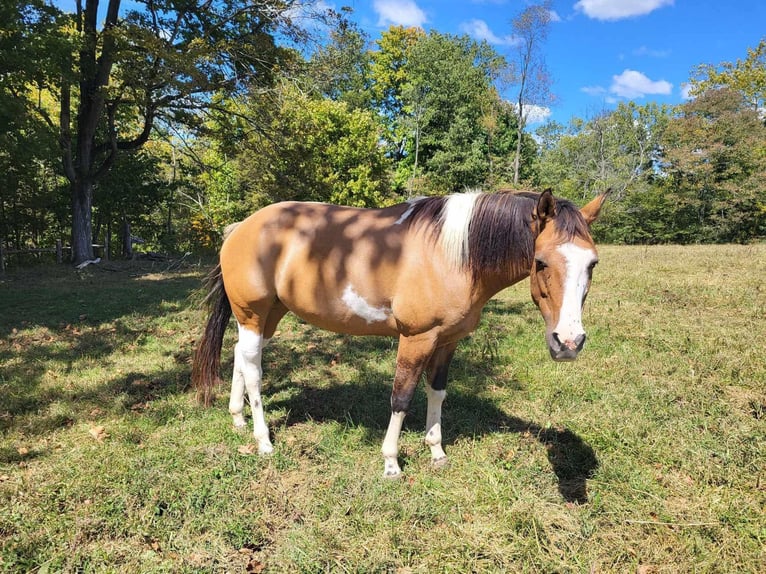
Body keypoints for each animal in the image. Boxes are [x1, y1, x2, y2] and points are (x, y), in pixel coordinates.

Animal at [194, 191, 612, 480]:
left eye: (592, 263)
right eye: (540, 262)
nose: (568, 342)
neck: (453, 255)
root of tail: (240, 228)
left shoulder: (447, 341)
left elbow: (436, 391)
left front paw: (436, 452)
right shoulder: (416, 338)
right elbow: (402, 396)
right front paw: (391, 462)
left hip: (269, 315)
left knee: (241, 356)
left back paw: (238, 419)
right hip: (253, 312)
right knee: (253, 369)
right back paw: (263, 440)